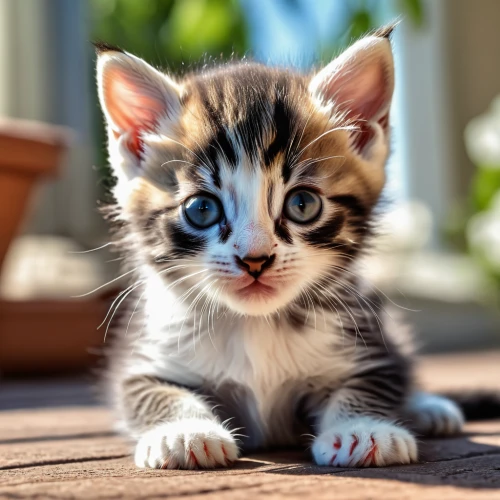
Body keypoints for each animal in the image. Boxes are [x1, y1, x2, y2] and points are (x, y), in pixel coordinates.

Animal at [96, 27, 468, 468]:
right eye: (201, 209)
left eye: (302, 204)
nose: (255, 259)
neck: (256, 325)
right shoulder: (142, 358)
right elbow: (152, 392)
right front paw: (185, 430)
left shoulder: (369, 343)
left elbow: (375, 381)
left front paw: (362, 427)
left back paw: (430, 408)